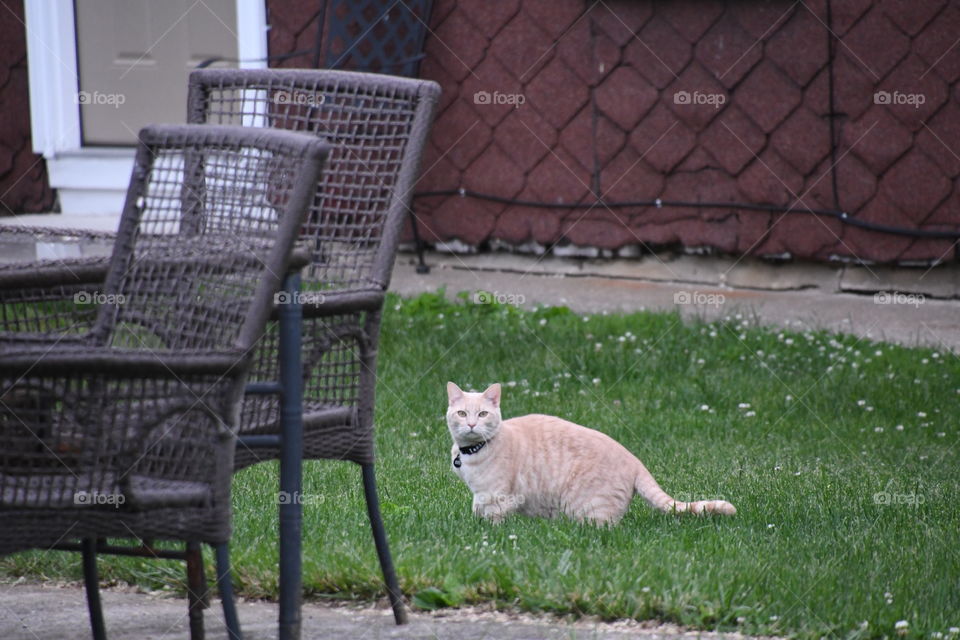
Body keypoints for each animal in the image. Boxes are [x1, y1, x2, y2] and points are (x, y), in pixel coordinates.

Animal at [444, 380, 736, 524]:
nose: (472, 424)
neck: (471, 451)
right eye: (462, 413)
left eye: (483, 414)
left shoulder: (498, 497)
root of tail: (635, 459)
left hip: (586, 508)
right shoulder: (480, 496)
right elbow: (476, 511)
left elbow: (493, 522)